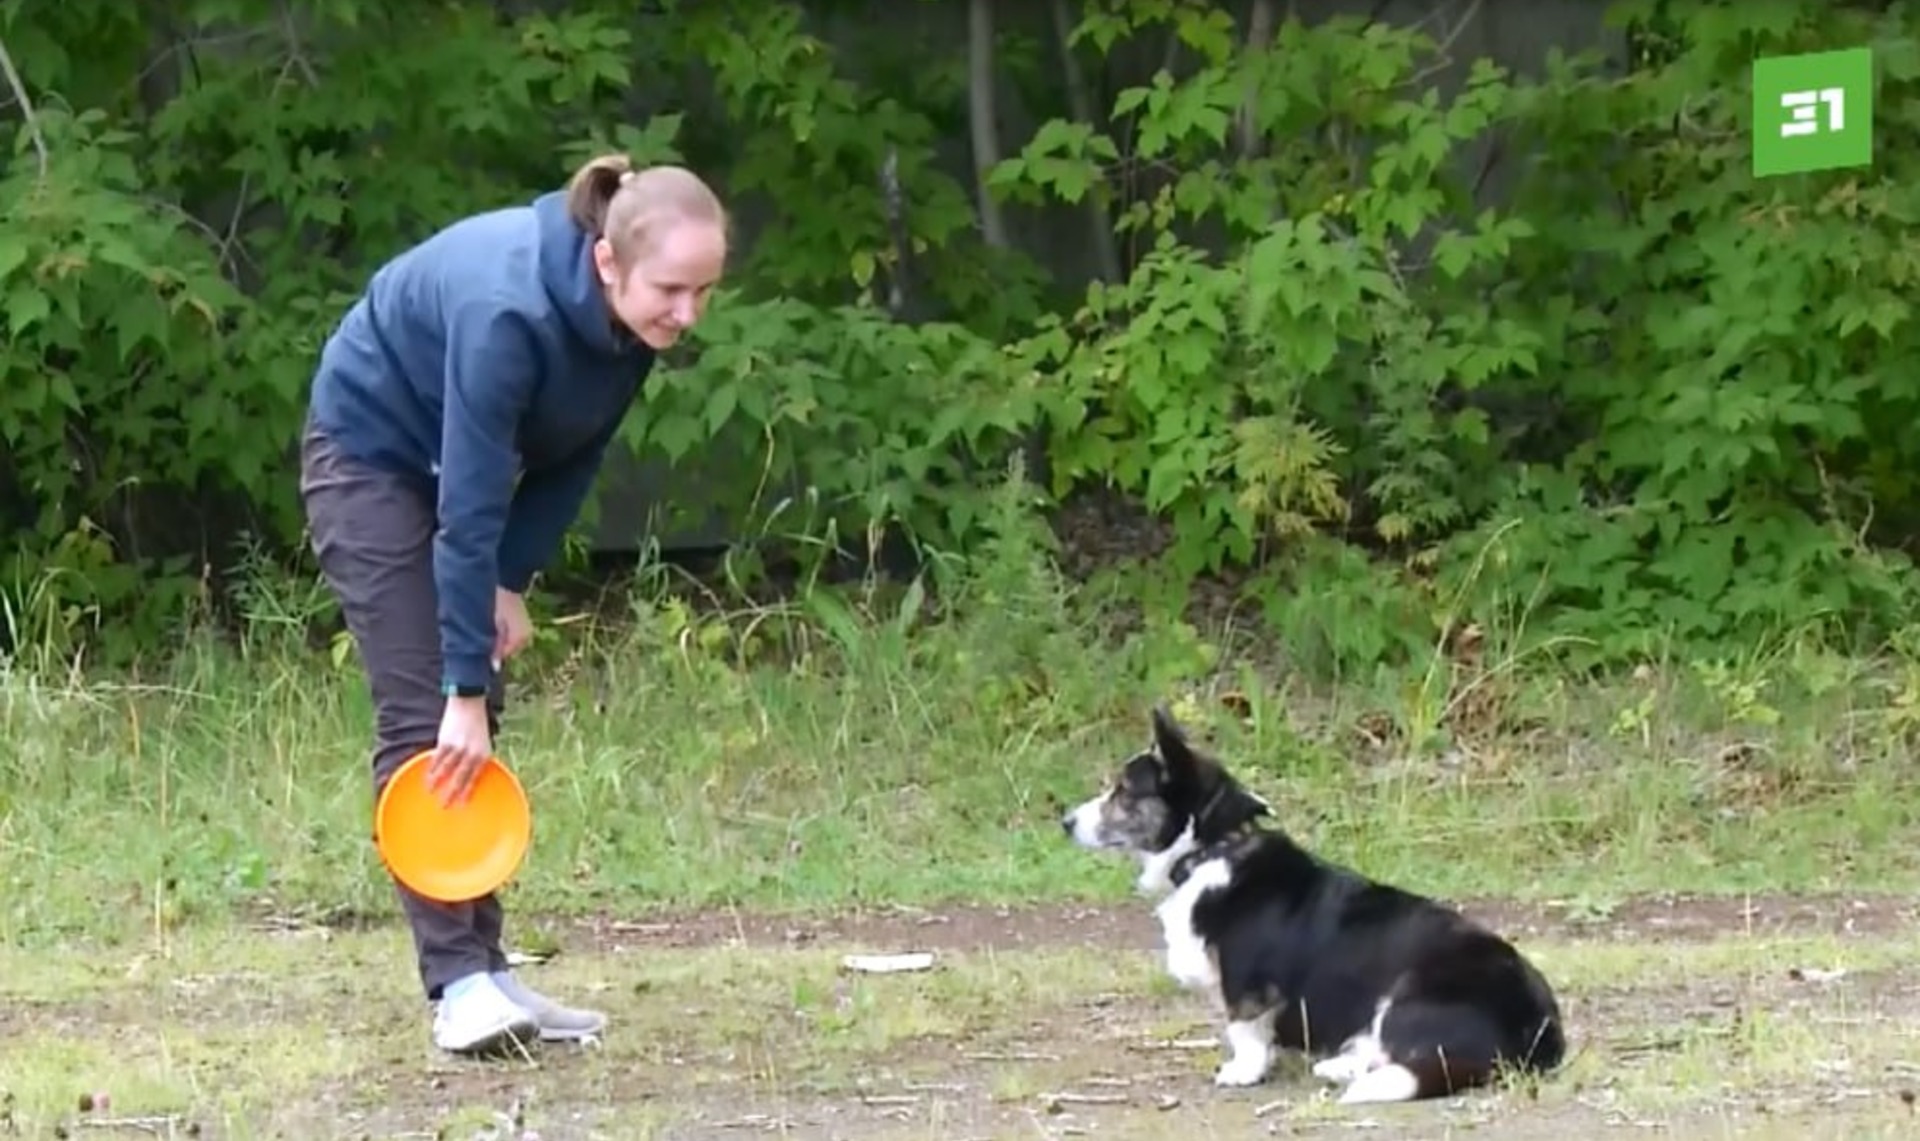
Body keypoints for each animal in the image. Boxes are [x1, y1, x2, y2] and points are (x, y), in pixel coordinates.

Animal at [1059, 703, 1566, 1098]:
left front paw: (1242, 1072)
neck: (1210, 850)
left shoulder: (1248, 988)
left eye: (1123, 792)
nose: (1065, 822)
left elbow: (1244, 1030)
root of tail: (1542, 1034)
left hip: (1403, 995)